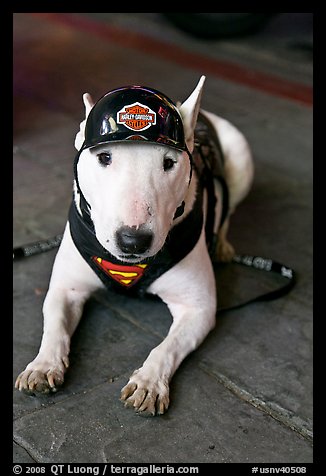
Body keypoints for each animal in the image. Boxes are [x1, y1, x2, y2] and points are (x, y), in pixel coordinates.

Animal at [15, 76, 255, 414]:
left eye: (169, 163)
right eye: (104, 157)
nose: (133, 241)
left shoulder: (198, 308)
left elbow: (167, 347)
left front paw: (149, 383)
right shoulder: (66, 289)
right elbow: (55, 326)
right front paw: (43, 366)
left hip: (242, 160)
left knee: (230, 207)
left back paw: (221, 244)